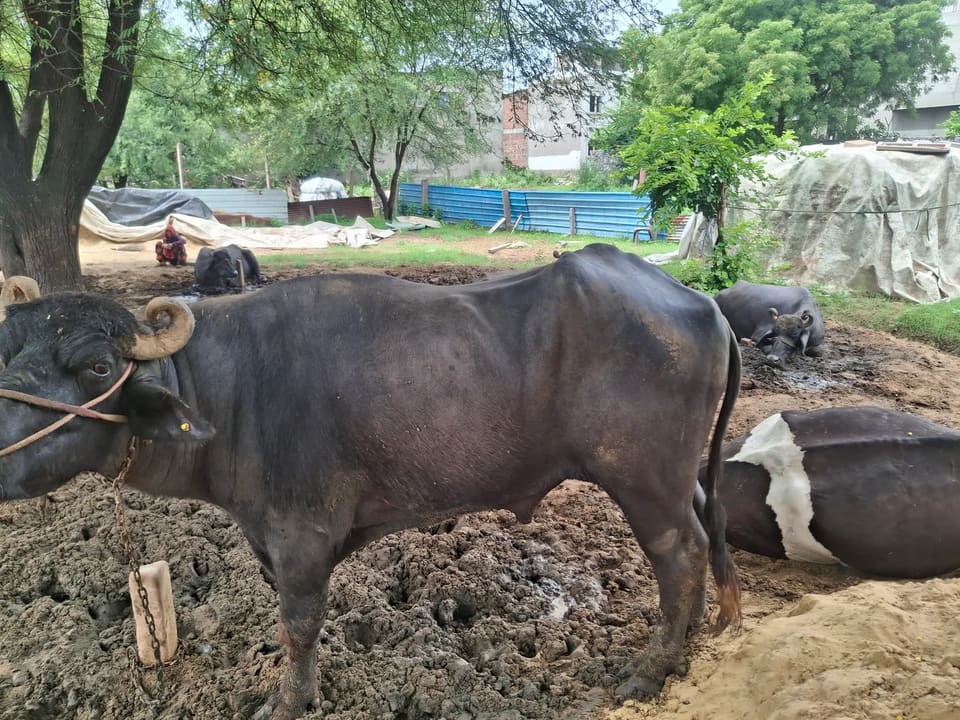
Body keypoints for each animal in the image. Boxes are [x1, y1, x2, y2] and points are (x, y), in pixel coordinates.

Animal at [0, 244, 741, 719]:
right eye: (6, 350)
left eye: (97, 367)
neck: (227, 388)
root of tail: (701, 303)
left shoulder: (300, 537)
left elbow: (299, 625)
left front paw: (288, 701)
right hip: (681, 478)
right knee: (709, 531)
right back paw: (706, 635)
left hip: (645, 480)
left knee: (680, 553)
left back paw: (649, 669)